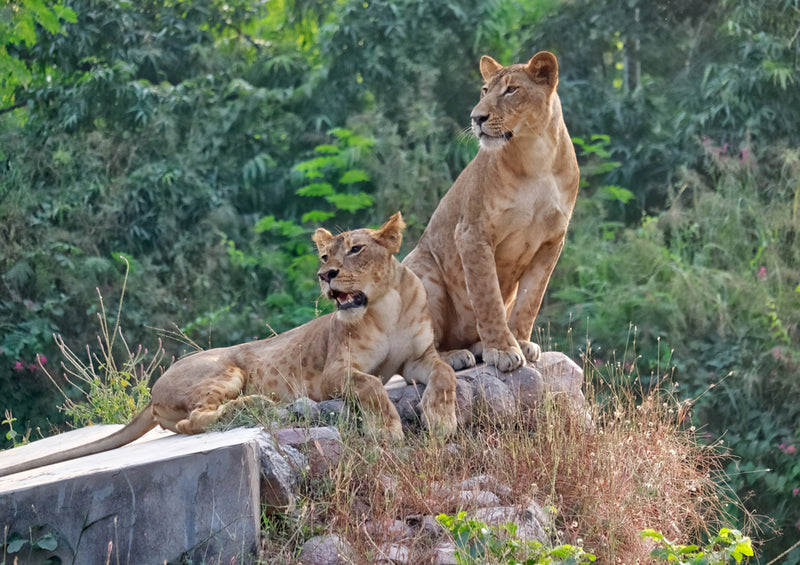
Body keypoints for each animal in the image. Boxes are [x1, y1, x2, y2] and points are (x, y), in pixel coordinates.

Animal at [0, 214, 456, 478]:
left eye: (356, 249)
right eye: (325, 255)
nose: (325, 276)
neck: (384, 306)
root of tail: (152, 392)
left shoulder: (418, 358)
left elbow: (446, 372)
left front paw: (442, 419)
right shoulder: (333, 373)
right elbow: (373, 385)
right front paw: (388, 429)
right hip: (226, 368)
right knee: (195, 420)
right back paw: (260, 406)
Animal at [404, 50, 580, 372]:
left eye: (511, 90)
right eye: (484, 91)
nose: (476, 118)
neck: (536, 154)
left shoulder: (552, 241)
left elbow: (530, 298)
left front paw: (520, 342)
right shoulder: (472, 233)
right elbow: (487, 296)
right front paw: (502, 349)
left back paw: (476, 348)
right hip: (422, 272)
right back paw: (455, 356)